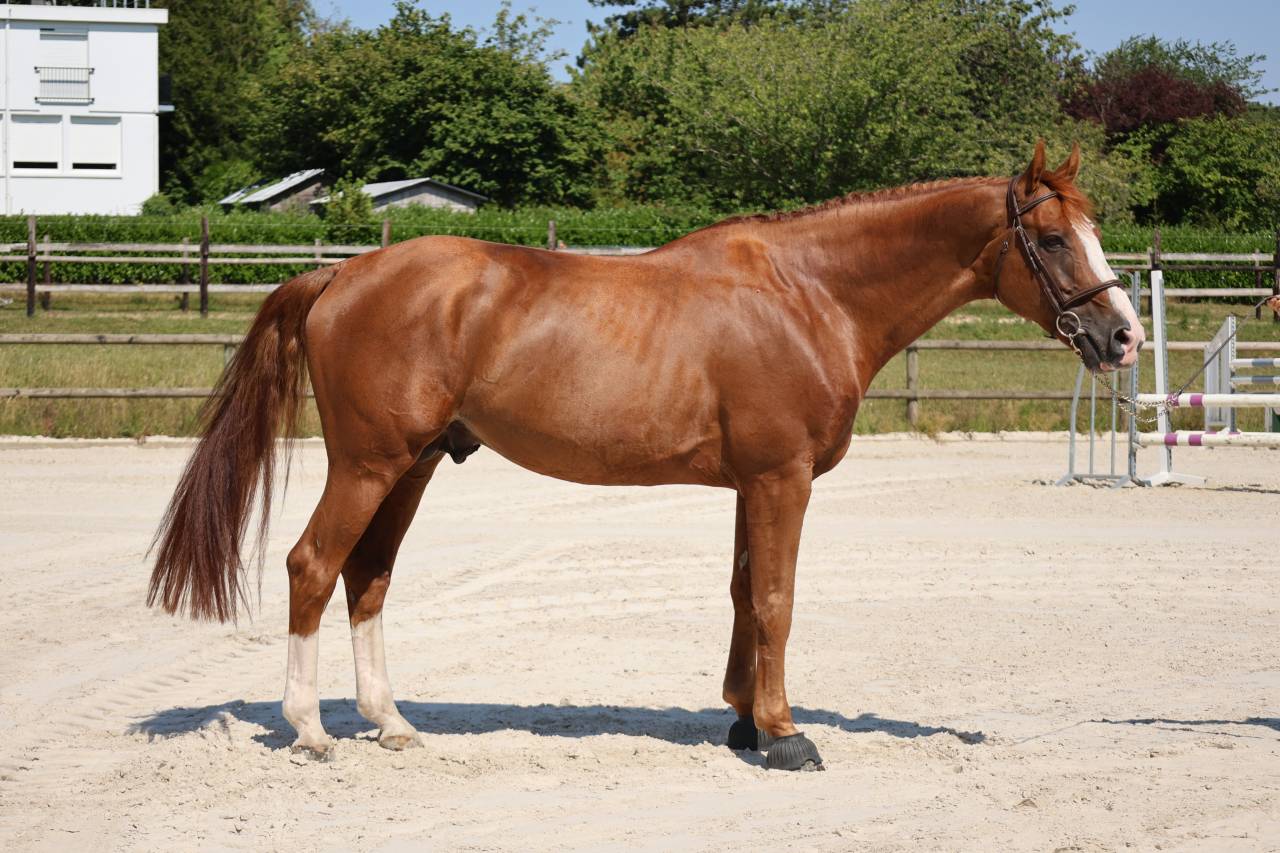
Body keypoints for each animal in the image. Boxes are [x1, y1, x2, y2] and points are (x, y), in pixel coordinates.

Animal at [149, 141, 1143, 771]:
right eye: (1053, 238)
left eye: (1091, 230)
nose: (1124, 335)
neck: (810, 292)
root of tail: (342, 272)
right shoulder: (780, 479)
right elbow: (777, 600)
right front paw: (787, 734)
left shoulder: (752, 483)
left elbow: (744, 594)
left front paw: (743, 722)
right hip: (369, 461)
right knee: (313, 565)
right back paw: (311, 731)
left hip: (416, 462)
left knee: (368, 577)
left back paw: (390, 723)